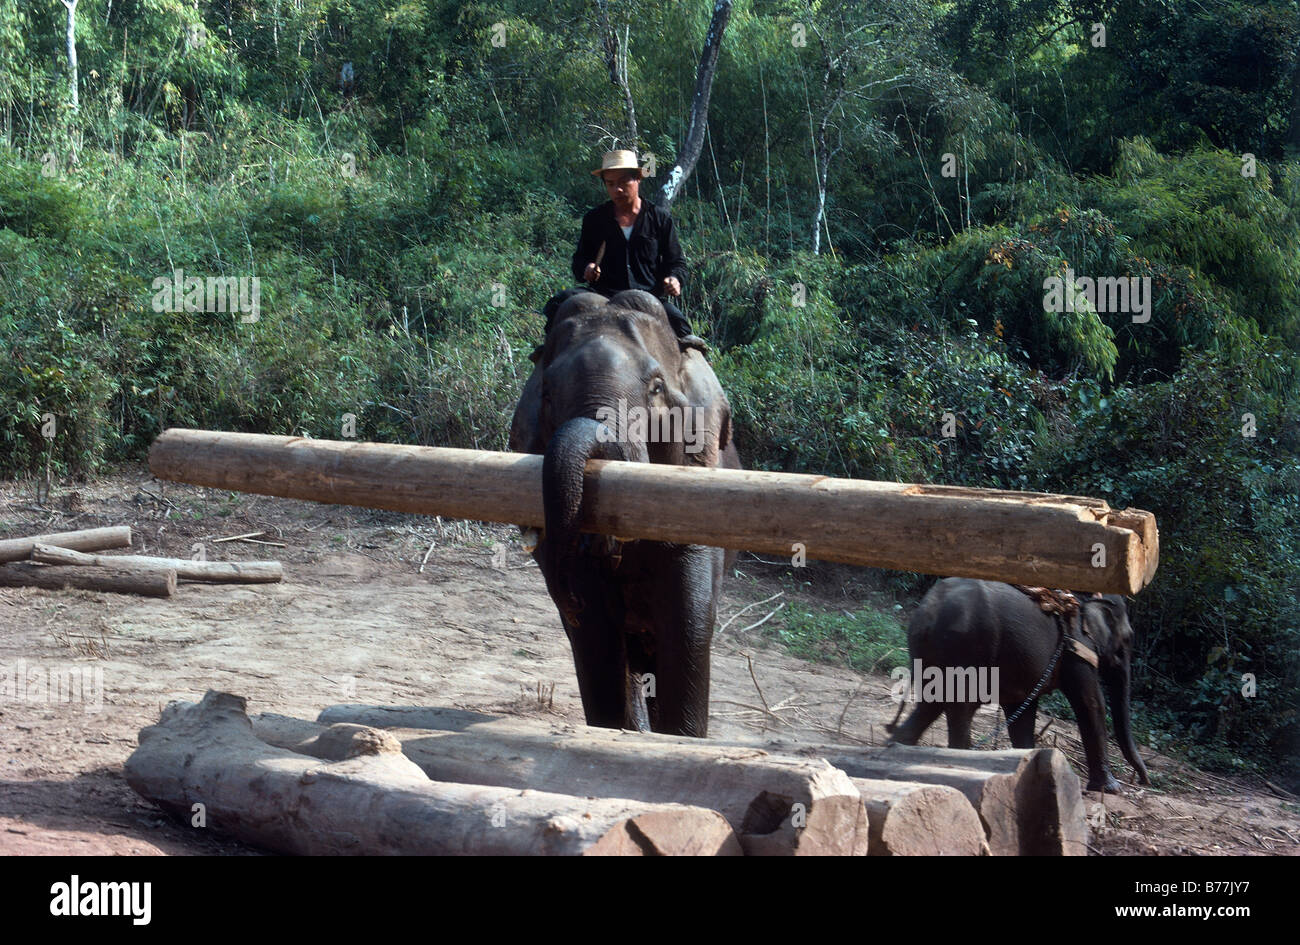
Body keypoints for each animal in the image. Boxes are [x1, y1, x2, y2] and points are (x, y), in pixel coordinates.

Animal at [886, 578, 1151, 793]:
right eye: (1128, 638)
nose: (1143, 780)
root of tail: (930, 611)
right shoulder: (1075, 648)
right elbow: (1091, 702)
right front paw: (1111, 789)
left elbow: (1022, 712)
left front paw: (1025, 763)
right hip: (966, 648)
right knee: (961, 707)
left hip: (930, 652)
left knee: (931, 704)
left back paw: (896, 748)